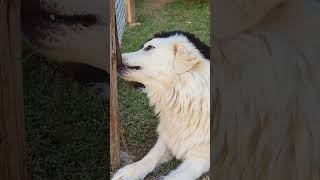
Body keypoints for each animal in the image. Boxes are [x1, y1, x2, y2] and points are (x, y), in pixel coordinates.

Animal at [112, 31, 210, 180]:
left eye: (149, 47)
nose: (117, 56)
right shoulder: (167, 138)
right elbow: (150, 157)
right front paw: (129, 172)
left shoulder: (199, 160)